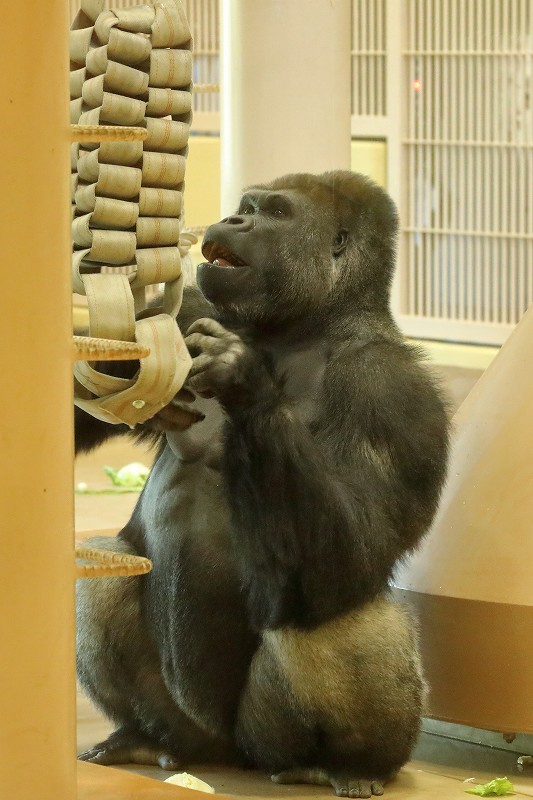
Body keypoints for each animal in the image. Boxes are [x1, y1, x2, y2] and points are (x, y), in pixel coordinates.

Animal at [76, 172, 448, 796]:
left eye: (273, 214)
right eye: (246, 207)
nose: (235, 220)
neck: (309, 325)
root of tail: (229, 756)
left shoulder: (391, 388)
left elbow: (352, 553)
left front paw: (241, 376)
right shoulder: (193, 311)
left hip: (263, 743)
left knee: (323, 617)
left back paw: (345, 764)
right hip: (192, 730)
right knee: (102, 566)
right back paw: (145, 736)